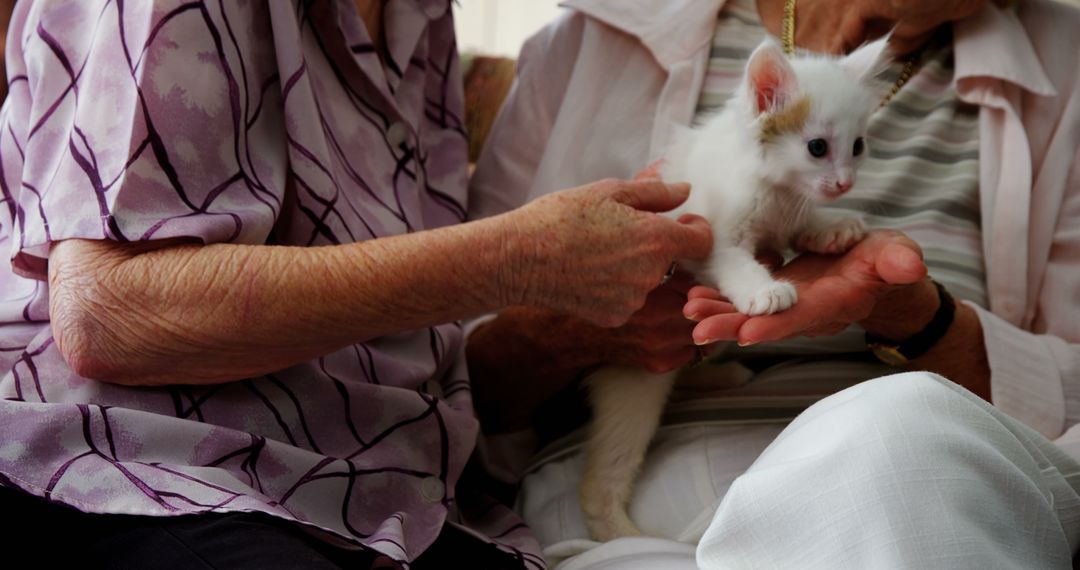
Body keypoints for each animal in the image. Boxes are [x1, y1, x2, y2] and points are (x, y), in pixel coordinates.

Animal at [587, 37, 889, 541]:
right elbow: (733, 263)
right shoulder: (714, 238)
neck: (776, 191)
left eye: (858, 146)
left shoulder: (787, 211)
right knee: (605, 470)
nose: (845, 183)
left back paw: (720, 374)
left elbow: (803, 223)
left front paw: (831, 228)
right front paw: (764, 290)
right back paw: (616, 531)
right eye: (817, 147)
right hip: (634, 382)